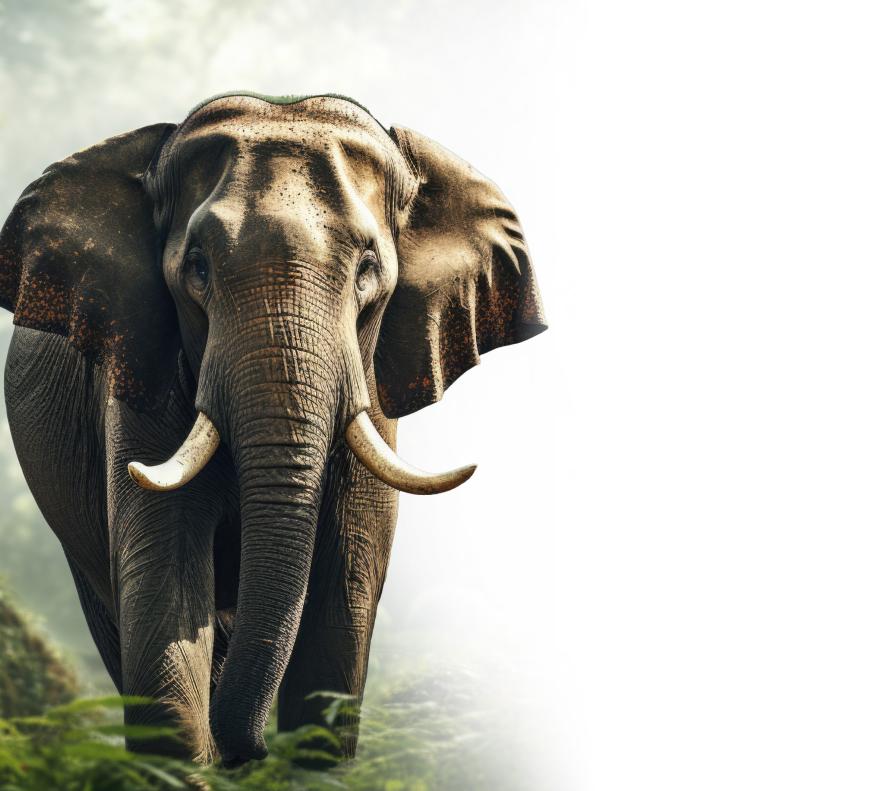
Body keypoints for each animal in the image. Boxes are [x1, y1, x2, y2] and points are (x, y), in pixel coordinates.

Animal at [0, 92, 546, 766]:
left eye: (368, 270)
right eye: (198, 269)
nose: (255, 750)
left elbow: (344, 602)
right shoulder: (138, 371)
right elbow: (165, 589)